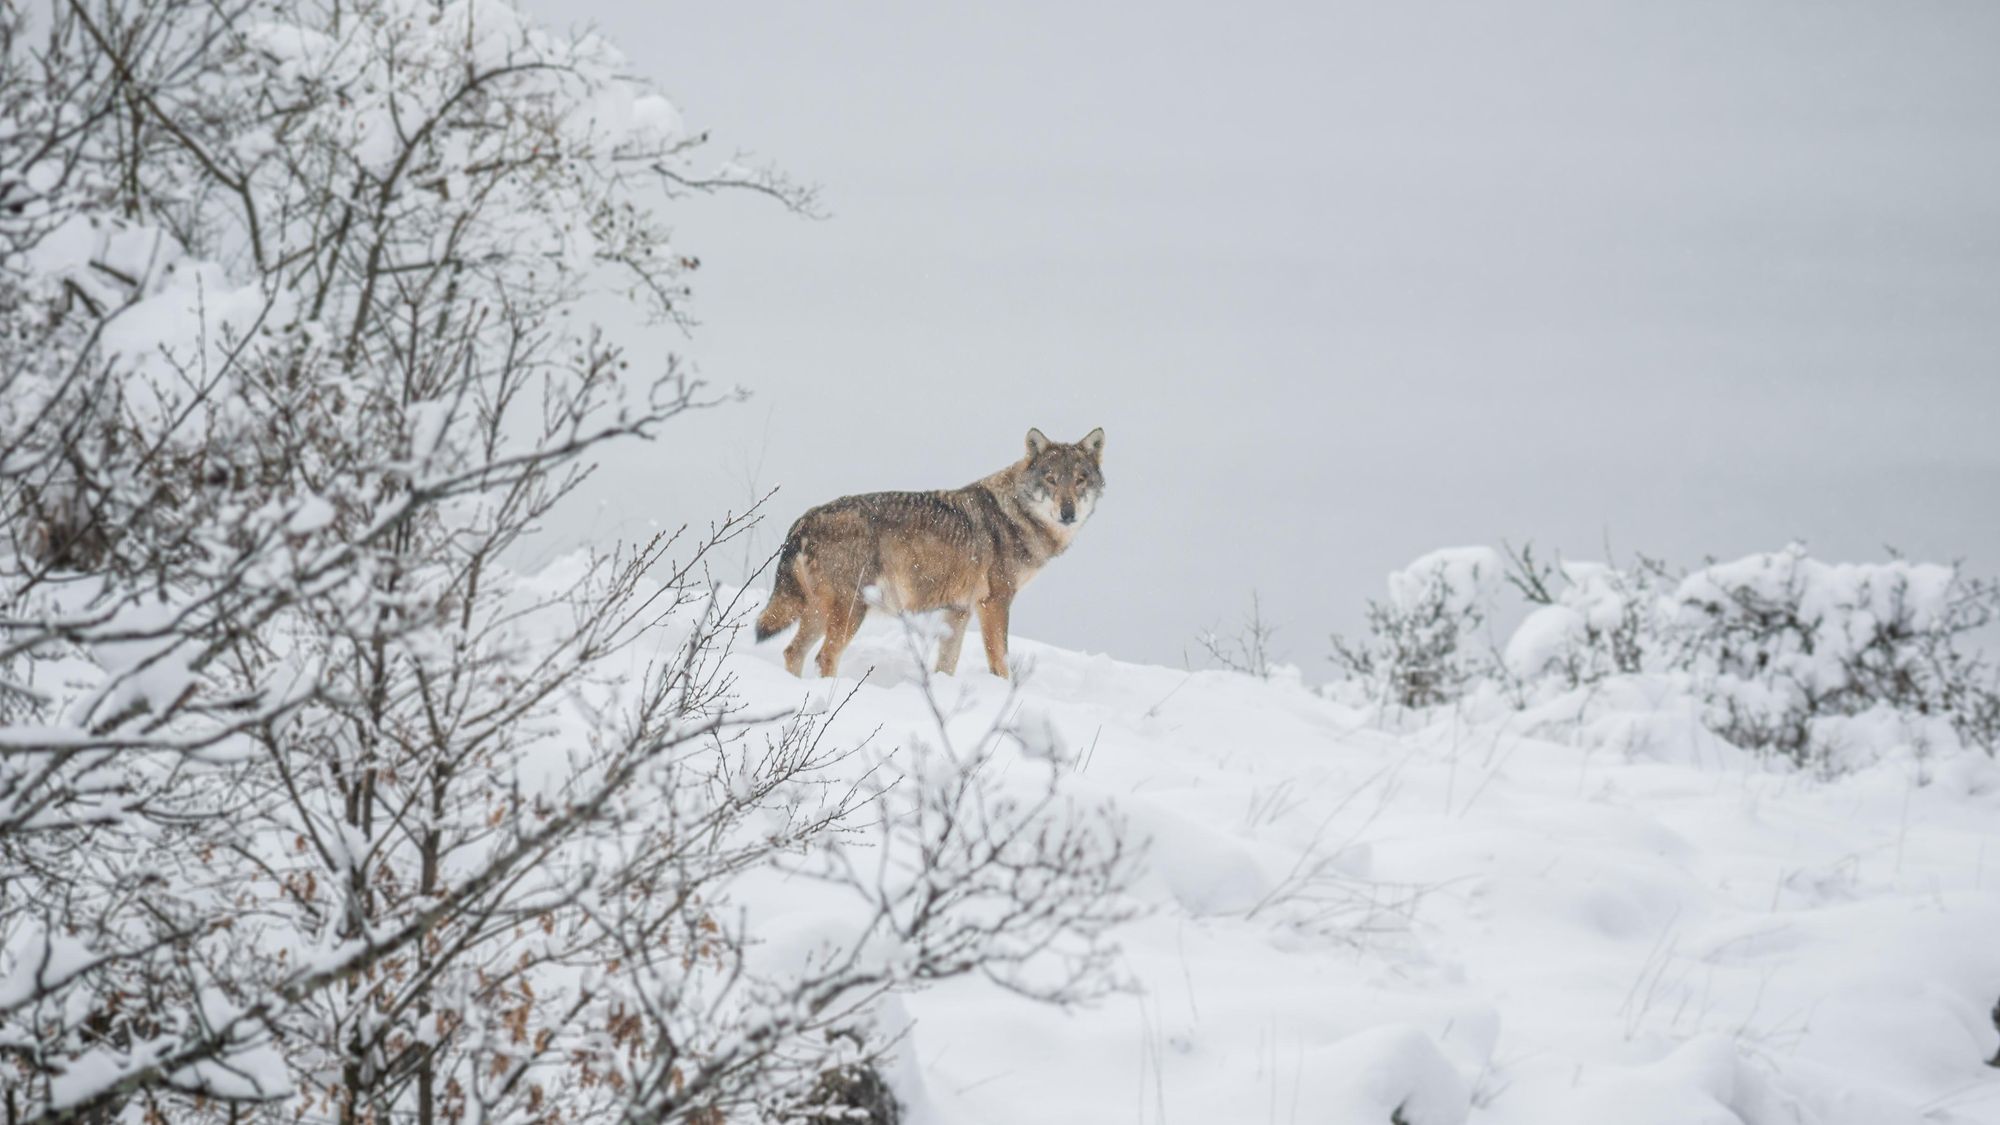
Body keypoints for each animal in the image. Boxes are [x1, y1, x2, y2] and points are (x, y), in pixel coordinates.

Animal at [756, 426, 1112, 672]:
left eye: (1080, 480)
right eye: (1051, 479)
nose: (1068, 512)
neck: (1014, 514)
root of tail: (805, 520)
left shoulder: (958, 610)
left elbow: (946, 666)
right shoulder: (994, 603)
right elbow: (1001, 665)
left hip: (818, 611)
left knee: (793, 652)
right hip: (851, 611)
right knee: (824, 657)